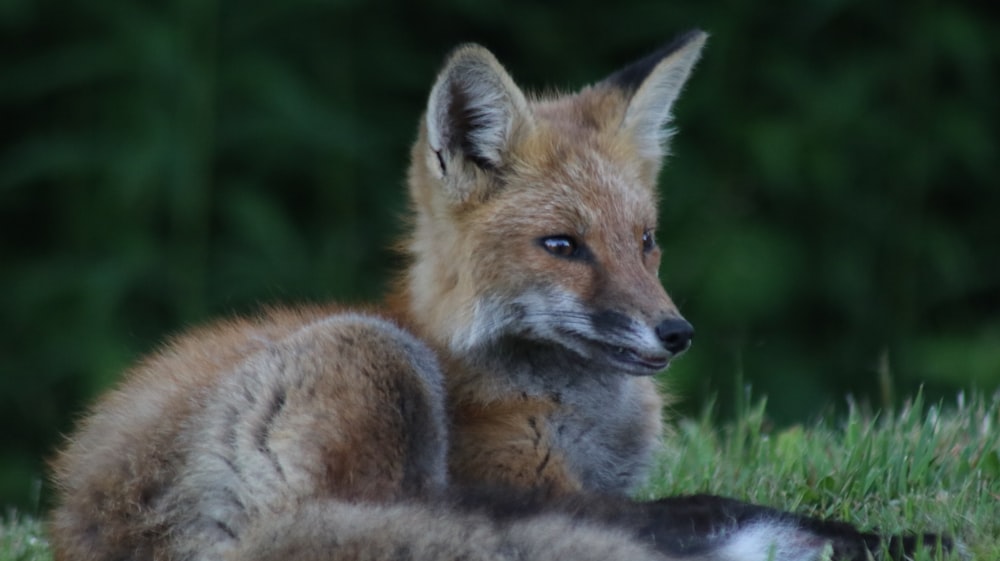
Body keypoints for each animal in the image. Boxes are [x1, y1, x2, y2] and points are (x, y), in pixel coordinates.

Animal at [48, 30, 952, 560]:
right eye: (562, 246)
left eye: (646, 240)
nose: (676, 332)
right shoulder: (527, 483)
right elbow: (704, 505)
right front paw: (877, 538)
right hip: (375, 365)